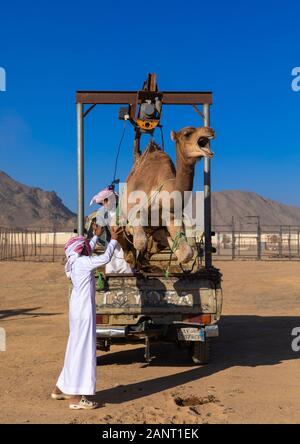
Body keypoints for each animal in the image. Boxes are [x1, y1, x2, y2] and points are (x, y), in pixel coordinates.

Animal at [119, 124, 216, 268]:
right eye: (187, 133)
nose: (210, 130)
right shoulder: (134, 207)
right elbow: (140, 241)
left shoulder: (171, 217)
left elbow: (187, 252)